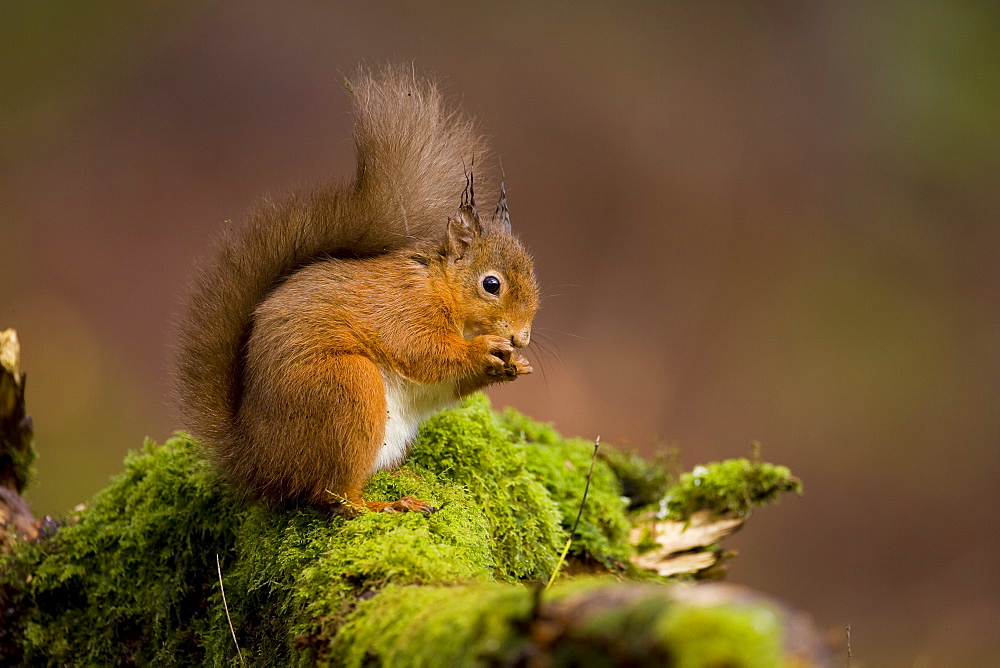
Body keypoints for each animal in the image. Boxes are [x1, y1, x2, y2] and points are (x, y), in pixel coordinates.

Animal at [176, 68, 544, 516]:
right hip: (347, 390)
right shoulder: (404, 307)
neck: (439, 285)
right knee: (332, 496)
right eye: (491, 284)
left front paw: (514, 366)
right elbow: (422, 351)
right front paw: (484, 350)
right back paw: (386, 504)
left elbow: (446, 384)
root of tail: (258, 461)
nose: (521, 338)